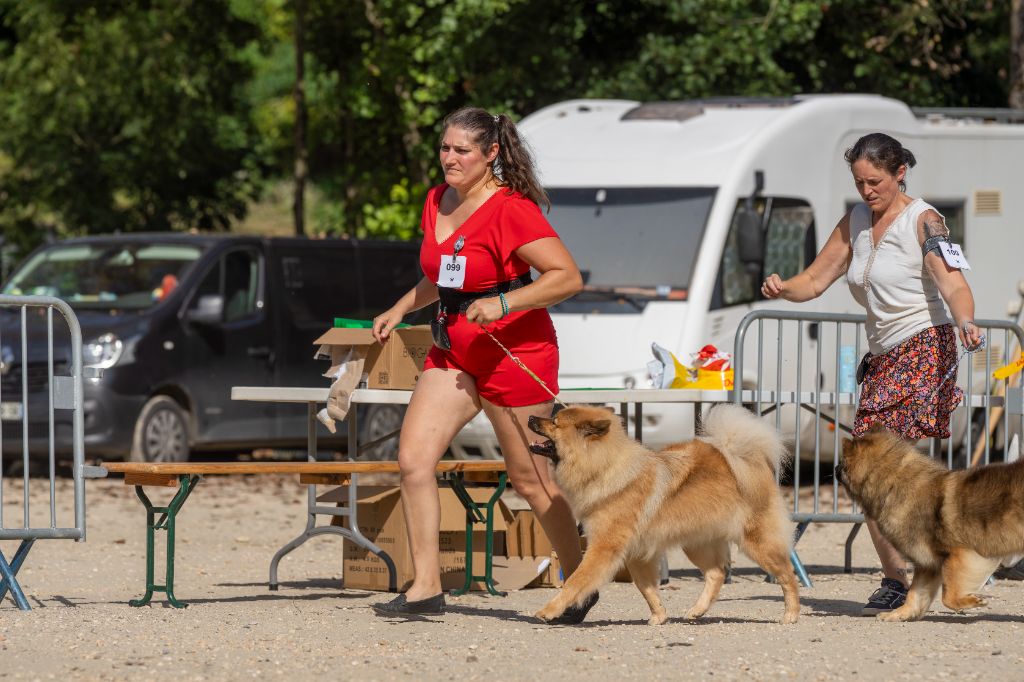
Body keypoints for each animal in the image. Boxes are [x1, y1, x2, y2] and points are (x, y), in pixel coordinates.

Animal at [528, 403, 798, 622]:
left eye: (554, 422)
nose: (530, 417)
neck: (606, 468)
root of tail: (747, 459)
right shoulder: (635, 553)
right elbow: (646, 587)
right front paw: (659, 615)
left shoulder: (604, 547)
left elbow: (575, 581)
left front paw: (549, 610)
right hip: (697, 542)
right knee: (717, 573)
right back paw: (697, 611)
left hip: (756, 542)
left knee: (787, 574)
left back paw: (791, 614)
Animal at [835, 428, 1024, 618]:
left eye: (842, 462)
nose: (834, 467)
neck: (894, 484)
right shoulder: (927, 563)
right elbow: (914, 594)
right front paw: (898, 614)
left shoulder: (962, 554)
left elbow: (948, 596)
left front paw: (974, 600)